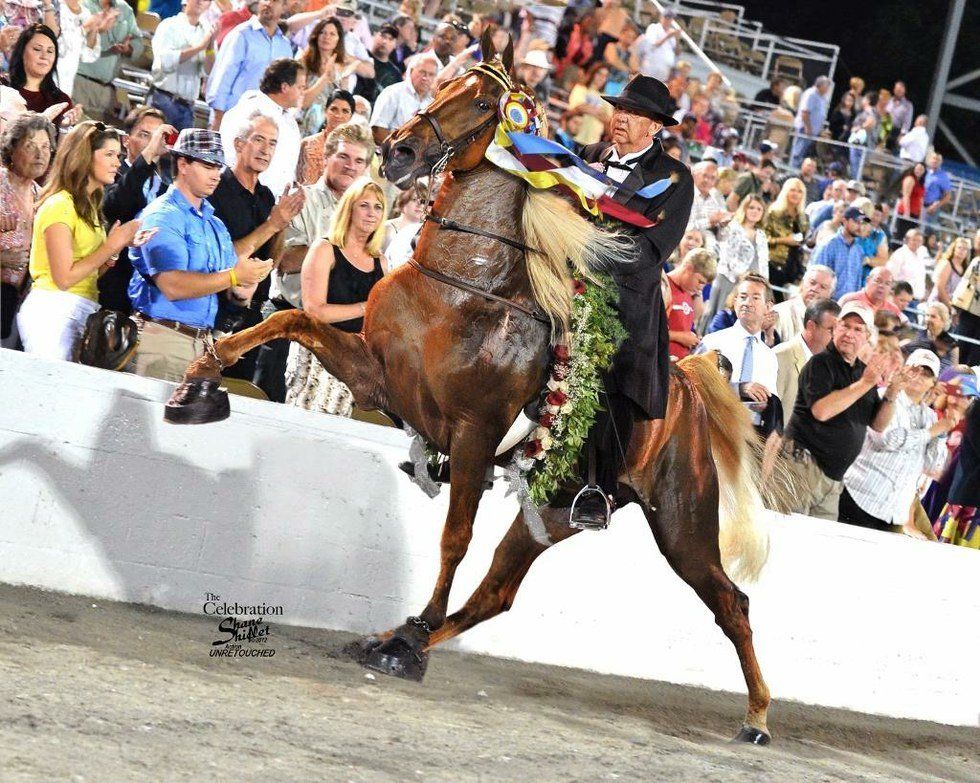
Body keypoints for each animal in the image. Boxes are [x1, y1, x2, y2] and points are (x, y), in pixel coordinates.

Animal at [166, 32, 775, 745]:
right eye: (443, 83)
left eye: (484, 102)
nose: (398, 151)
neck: (464, 284)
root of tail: (689, 392)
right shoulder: (382, 379)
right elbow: (292, 319)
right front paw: (200, 382)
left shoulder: (475, 436)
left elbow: (453, 537)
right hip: (554, 510)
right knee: (497, 593)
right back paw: (400, 638)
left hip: (680, 524)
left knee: (731, 602)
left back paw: (757, 718)